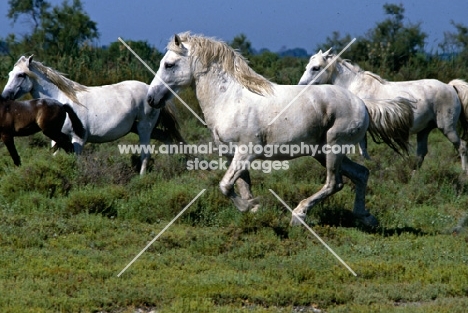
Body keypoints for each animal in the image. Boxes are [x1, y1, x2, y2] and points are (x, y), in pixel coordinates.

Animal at [2, 54, 185, 174]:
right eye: (10, 74)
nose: (4, 96)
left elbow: (75, 160)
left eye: (21, 75)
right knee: (166, 138)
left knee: (145, 154)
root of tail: (151, 93)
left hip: (144, 129)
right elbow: (56, 157)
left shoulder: (78, 139)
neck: (63, 101)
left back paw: (142, 179)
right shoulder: (56, 138)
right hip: (140, 128)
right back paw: (170, 167)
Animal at [146, 33, 414, 225]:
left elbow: (225, 186)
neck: (230, 99)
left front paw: (250, 207)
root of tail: (362, 104)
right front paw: (254, 210)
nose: (151, 99)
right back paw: (365, 216)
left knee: (334, 183)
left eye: (169, 64)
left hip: (333, 148)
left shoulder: (247, 152)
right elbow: (240, 186)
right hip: (321, 152)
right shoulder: (233, 156)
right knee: (361, 174)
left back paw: (299, 215)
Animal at [300, 49, 468, 172]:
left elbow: (362, 149)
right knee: (421, 154)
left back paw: (463, 173)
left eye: (316, 68)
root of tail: (450, 87)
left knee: (462, 147)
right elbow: (363, 149)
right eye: (306, 67)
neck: (354, 87)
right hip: (424, 131)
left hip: (447, 128)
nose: (301, 86)